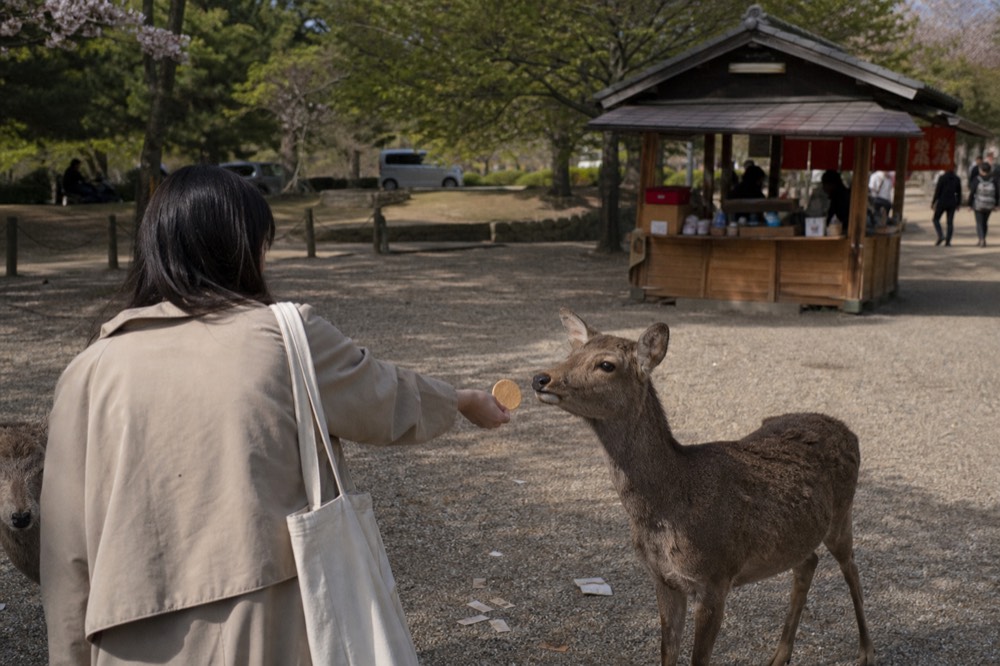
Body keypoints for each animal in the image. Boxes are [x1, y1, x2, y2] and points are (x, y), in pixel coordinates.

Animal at [531, 309, 874, 666]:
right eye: (571, 353)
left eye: (606, 364)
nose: (541, 378)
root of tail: (849, 430)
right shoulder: (663, 579)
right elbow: (667, 652)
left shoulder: (715, 579)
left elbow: (699, 659)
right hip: (796, 535)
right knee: (808, 562)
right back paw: (779, 656)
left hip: (842, 513)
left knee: (851, 568)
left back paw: (866, 651)